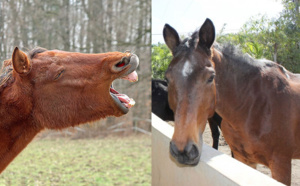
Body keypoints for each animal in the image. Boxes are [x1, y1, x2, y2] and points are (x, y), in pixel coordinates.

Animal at [163, 18, 300, 185]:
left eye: (211, 77)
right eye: (167, 78)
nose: (183, 150)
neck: (254, 107)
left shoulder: (281, 165)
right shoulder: (243, 158)